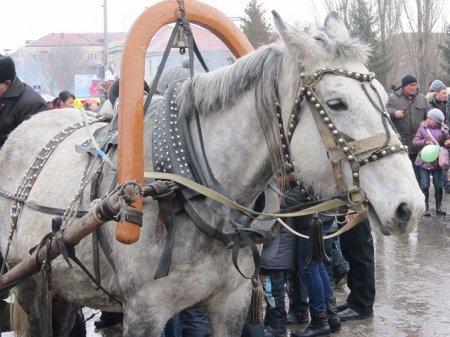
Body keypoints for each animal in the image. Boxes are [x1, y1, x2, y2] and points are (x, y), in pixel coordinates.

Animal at [0, 11, 422, 336]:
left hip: (63, 285)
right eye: (336, 103)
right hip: (31, 281)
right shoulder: (144, 313)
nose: (410, 206)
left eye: (383, 96)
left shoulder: (230, 304)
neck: (186, 188)